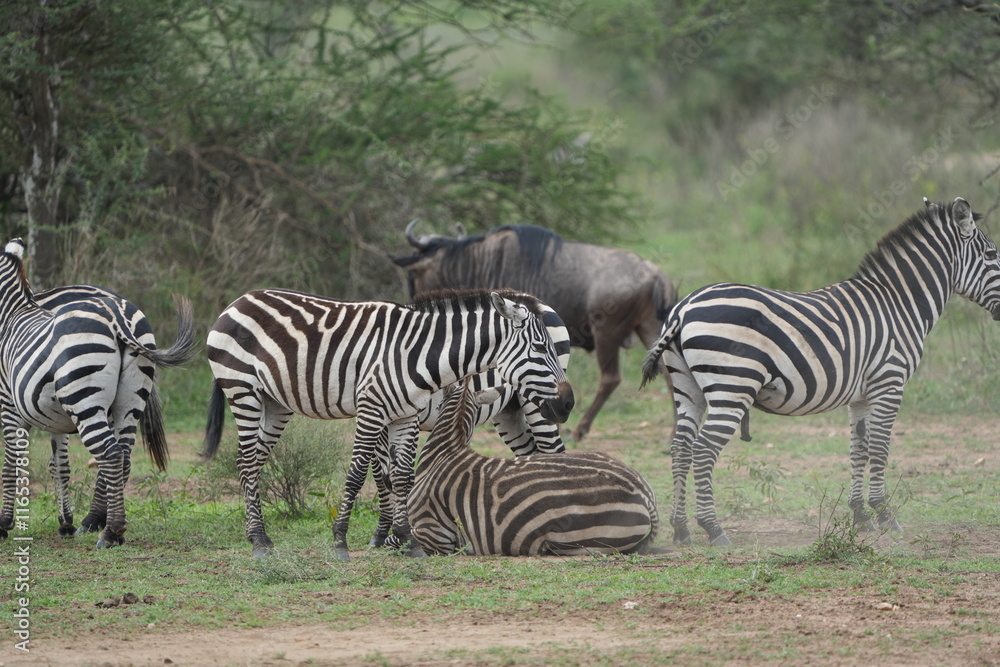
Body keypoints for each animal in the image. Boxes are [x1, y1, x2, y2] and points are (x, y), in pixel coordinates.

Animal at [203, 287, 574, 559]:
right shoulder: (374, 410)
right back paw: (258, 539)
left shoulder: (404, 415)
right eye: (539, 347)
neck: (417, 355)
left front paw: (403, 538)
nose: (568, 403)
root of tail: (241, 298)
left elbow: (399, 477)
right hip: (245, 390)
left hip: (273, 402)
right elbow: (365, 474)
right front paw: (346, 540)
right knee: (248, 462)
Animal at [641, 197, 1000, 546]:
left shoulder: (861, 395)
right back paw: (713, 529)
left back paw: (681, 529)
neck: (900, 304)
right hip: (732, 386)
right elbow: (880, 448)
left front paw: (861, 516)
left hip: (688, 387)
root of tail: (683, 308)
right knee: (703, 450)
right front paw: (885, 514)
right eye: (992, 255)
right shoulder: (889, 382)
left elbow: (860, 449)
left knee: (681, 447)